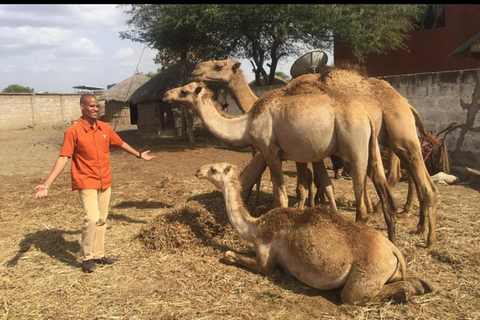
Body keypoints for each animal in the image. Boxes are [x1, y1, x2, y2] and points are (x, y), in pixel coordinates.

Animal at [163, 81, 400, 244]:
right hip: (372, 148)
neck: (246, 124)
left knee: (362, 202)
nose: (166, 94)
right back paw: (391, 238)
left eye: (184, 91)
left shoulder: (271, 152)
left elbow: (281, 197)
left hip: (355, 149)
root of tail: (366, 115)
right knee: (382, 186)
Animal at [193, 162, 434, 304]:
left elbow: (235, 257)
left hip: (366, 275)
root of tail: (393, 249)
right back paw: (423, 286)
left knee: (352, 295)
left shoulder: (265, 255)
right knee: (407, 280)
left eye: (213, 169)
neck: (256, 226)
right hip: (389, 270)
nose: (198, 170)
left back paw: (407, 292)